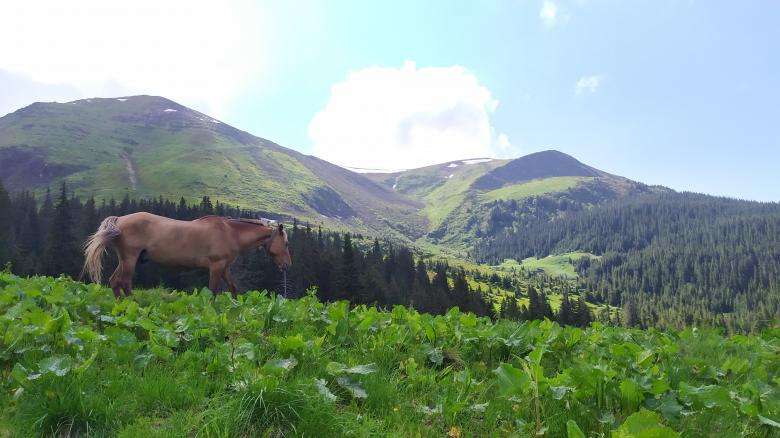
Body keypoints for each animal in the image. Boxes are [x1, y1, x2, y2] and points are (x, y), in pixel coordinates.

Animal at [81, 212, 291, 298]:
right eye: (286, 243)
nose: (288, 265)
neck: (230, 232)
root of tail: (119, 220)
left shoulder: (224, 268)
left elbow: (233, 288)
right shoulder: (216, 266)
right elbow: (212, 290)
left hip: (125, 259)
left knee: (115, 281)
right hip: (130, 259)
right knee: (124, 282)